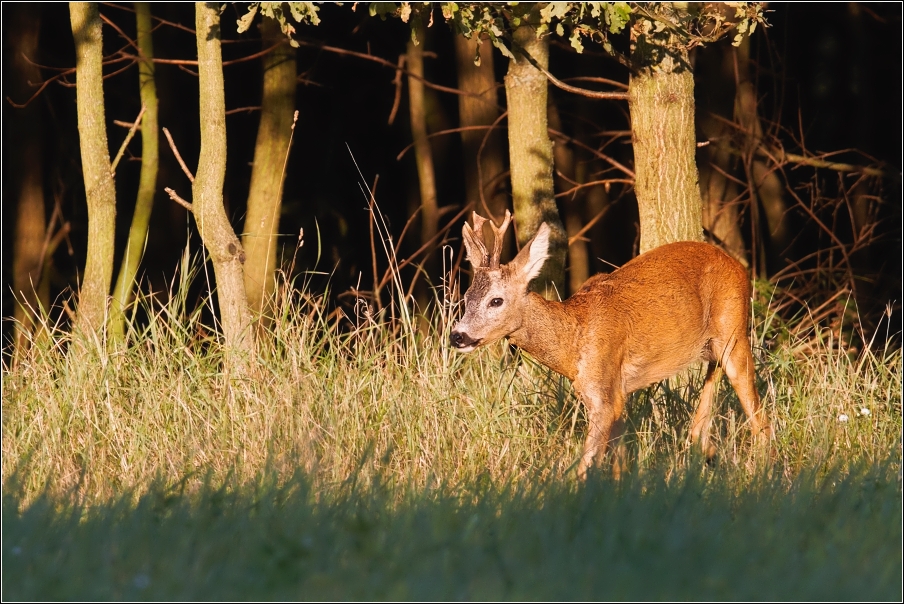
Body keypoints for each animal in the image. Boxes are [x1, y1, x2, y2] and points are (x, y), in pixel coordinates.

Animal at [448, 210, 772, 478]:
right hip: (713, 347)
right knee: (704, 413)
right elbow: (620, 465)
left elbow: (586, 467)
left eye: (496, 300)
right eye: (466, 297)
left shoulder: (604, 394)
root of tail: (740, 267)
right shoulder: (617, 395)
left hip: (734, 330)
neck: (574, 342)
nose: (457, 335)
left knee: (761, 420)